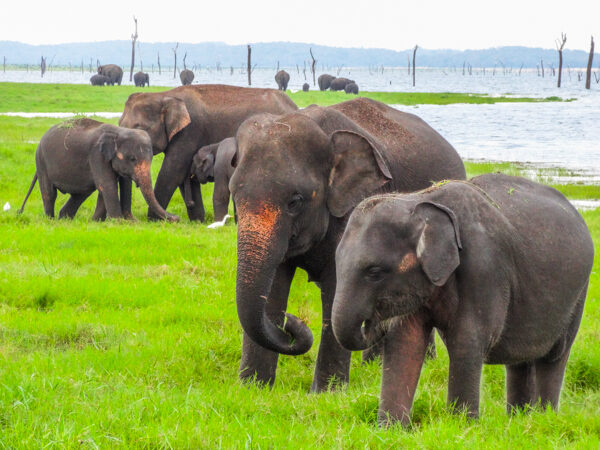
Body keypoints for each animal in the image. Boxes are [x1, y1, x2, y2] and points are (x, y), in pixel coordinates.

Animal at [17, 116, 178, 221]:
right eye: (132, 159)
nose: (177, 218)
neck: (118, 131)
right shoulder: (97, 155)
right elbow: (107, 184)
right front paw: (117, 222)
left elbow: (121, 185)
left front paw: (122, 222)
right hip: (41, 162)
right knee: (49, 193)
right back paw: (50, 220)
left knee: (80, 194)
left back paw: (64, 219)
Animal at [118, 84, 298, 221]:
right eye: (119, 123)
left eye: (140, 128)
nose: (176, 218)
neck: (165, 95)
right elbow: (182, 174)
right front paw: (198, 221)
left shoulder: (189, 131)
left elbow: (173, 172)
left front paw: (155, 220)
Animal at [227, 96, 466, 392]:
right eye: (234, 196)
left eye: (295, 201)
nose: (292, 322)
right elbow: (274, 284)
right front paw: (253, 389)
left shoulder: (354, 210)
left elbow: (336, 285)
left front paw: (326, 393)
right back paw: (375, 365)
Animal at [332, 174, 596, 428]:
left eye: (374, 272)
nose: (372, 322)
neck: (417, 200)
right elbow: (405, 342)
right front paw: (390, 430)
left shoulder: (484, 268)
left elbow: (466, 340)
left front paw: (462, 426)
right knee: (520, 359)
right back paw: (518, 419)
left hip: (578, 292)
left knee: (554, 356)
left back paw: (545, 417)